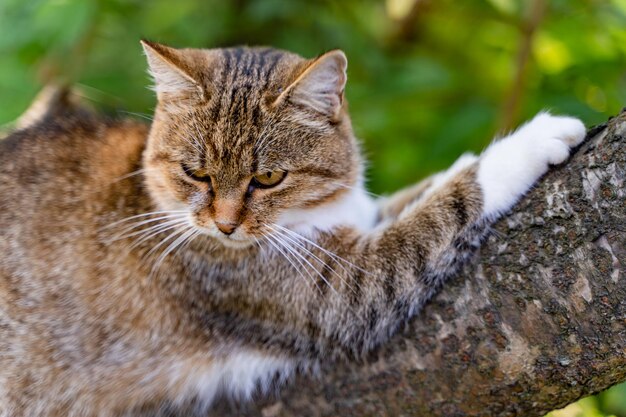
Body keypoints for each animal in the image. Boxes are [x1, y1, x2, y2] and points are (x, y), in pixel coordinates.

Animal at [1, 39, 584, 416]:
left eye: (268, 177)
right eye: (196, 172)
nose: (225, 226)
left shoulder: (357, 219)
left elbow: (417, 193)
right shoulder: (349, 287)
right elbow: (447, 203)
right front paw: (533, 138)